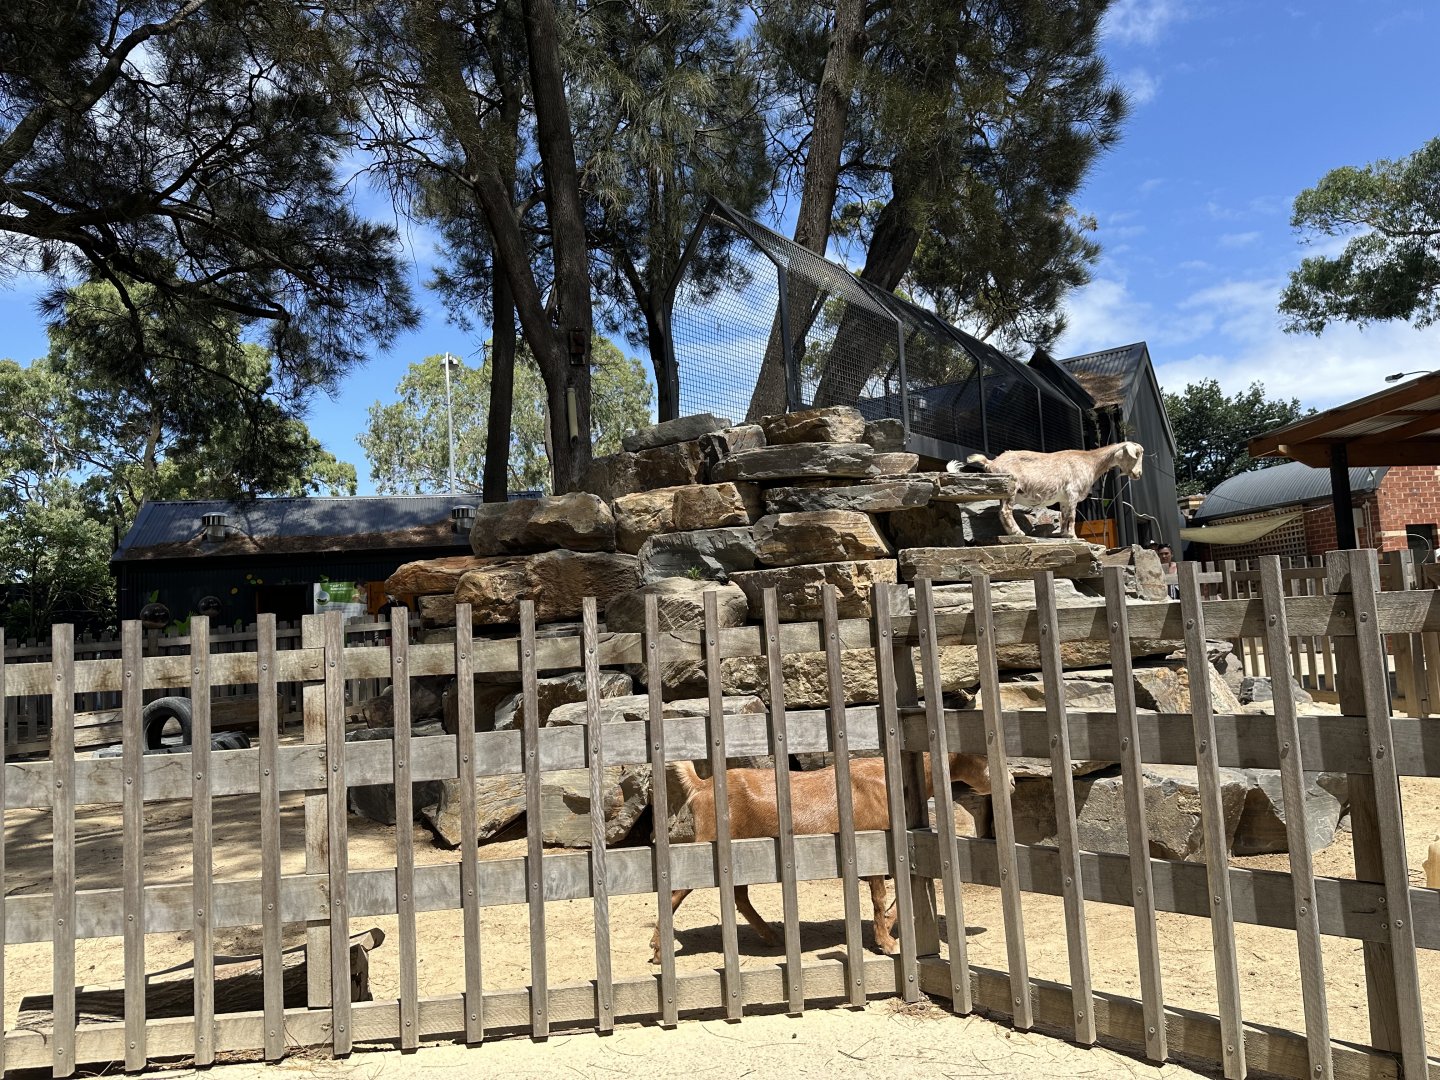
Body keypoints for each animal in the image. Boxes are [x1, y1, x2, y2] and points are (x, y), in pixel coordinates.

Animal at [651, 753, 993, 964]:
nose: (1004, 780)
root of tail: (702, 786)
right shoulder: (872, 848)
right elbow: (880, 898)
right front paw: (886, 943)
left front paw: (887, 929)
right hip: (707, 843)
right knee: (678, 890)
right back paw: (657, 950)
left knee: (739, 895)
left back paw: (771, 936)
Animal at [950, 441, 1144, 540]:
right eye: (1136, 454)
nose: (1139, 474)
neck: (1091, 462)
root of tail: (991, 462)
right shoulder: (1073, 493)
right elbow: (1072, 517)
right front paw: (1073, 536)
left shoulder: (1065, 499)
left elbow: (1065, 516)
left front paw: (1064, 534)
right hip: (1010, 488)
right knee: (1005, 511)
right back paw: (1018, 533)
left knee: (1002, 512)